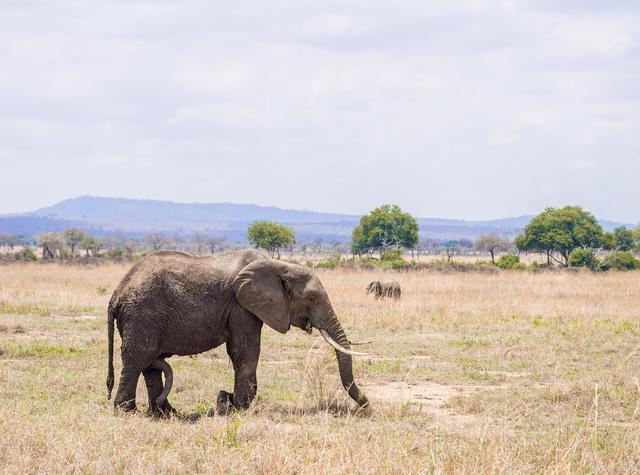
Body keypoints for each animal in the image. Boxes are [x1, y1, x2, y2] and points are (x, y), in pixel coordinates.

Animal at [107, 249, 370, 416]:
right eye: (312, 298)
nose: (367, 406)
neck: (279, 266)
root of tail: (116, 294)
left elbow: (241, 352)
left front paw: (229, 402)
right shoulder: (240, 306)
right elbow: (244, 350)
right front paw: (239, 406)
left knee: (150, 364)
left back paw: (164, 412)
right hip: (142, 315)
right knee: (137, 359)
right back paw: (127, 412)